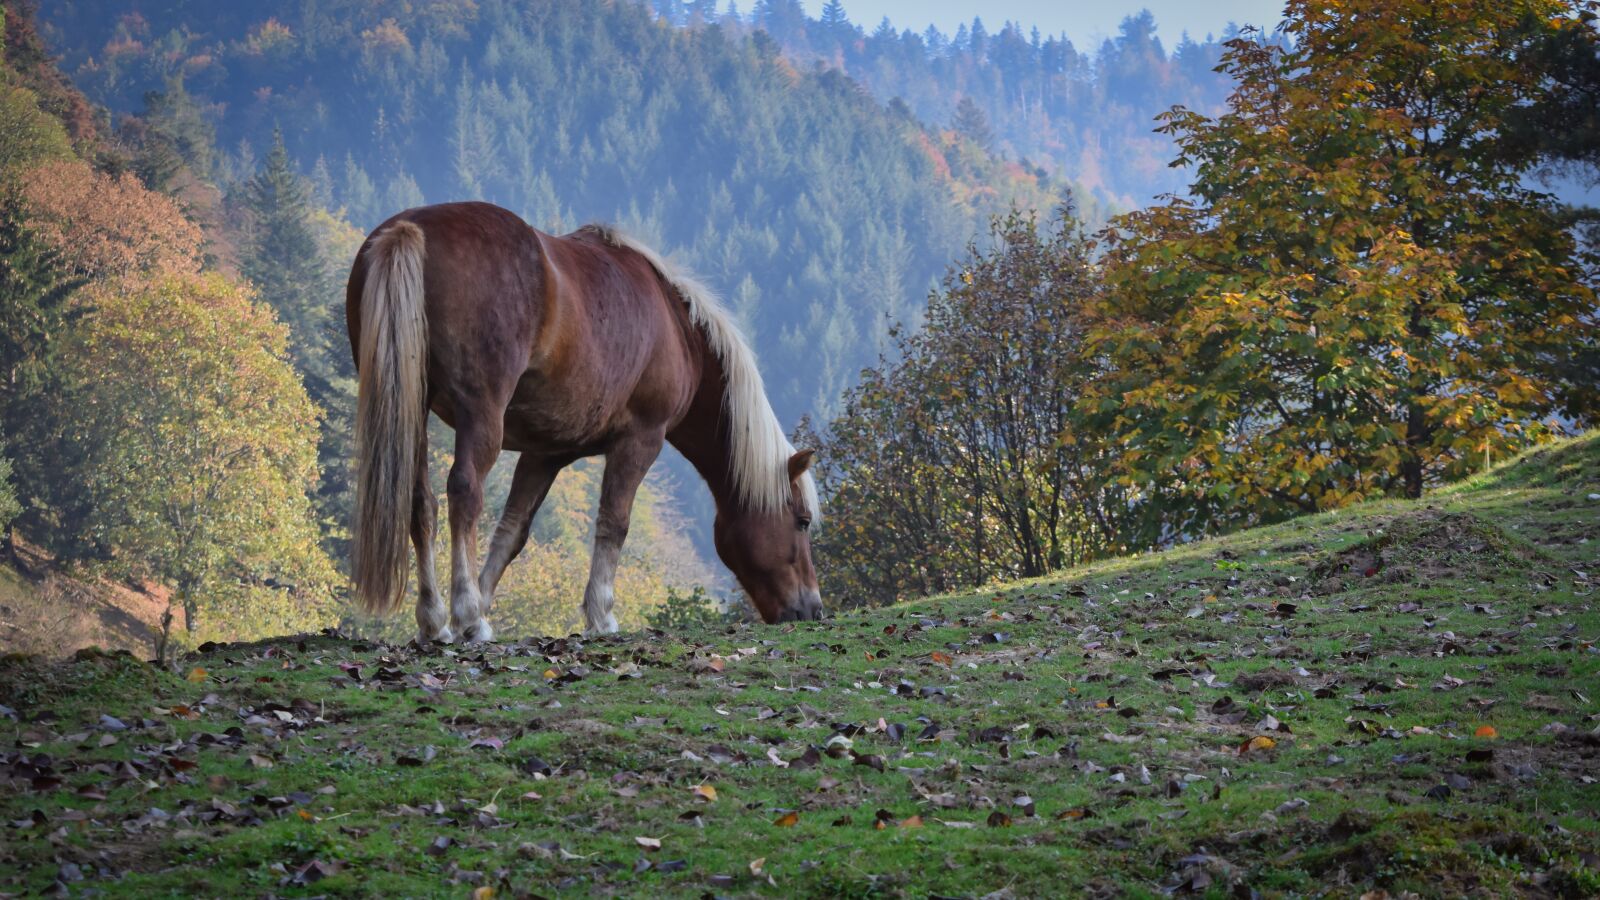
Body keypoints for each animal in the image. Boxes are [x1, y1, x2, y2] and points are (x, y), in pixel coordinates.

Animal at [345, 201, 822, 641]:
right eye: (802, 521)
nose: (812, 610)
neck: (677, 326)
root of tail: (411, 229)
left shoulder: (544, 453)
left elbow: (512, 532)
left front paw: (484, 599)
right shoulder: (640, 440)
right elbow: (614, 523)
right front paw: (600, 614)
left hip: (414, 409)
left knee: (420, 501)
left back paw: (436, 620)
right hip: (480, 416)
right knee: (464, 492)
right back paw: (465, 613)